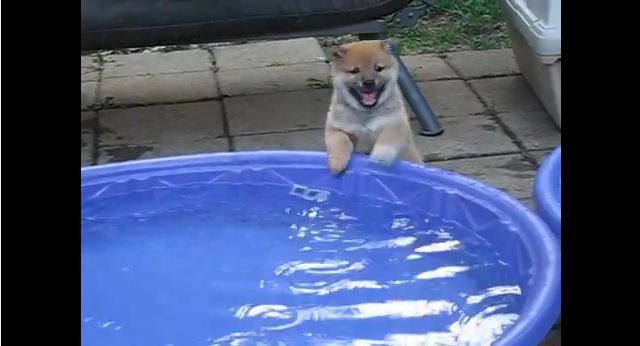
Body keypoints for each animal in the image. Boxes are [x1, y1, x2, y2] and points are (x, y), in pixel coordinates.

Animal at [322, 39, 422, 176]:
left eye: (378, 68)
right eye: (355, 70)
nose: (369, 82)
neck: (366, 113)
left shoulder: (395, 123)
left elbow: (386, 141)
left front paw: (378, 160)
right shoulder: (336, 128)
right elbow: (342, 140)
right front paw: (336, 163)